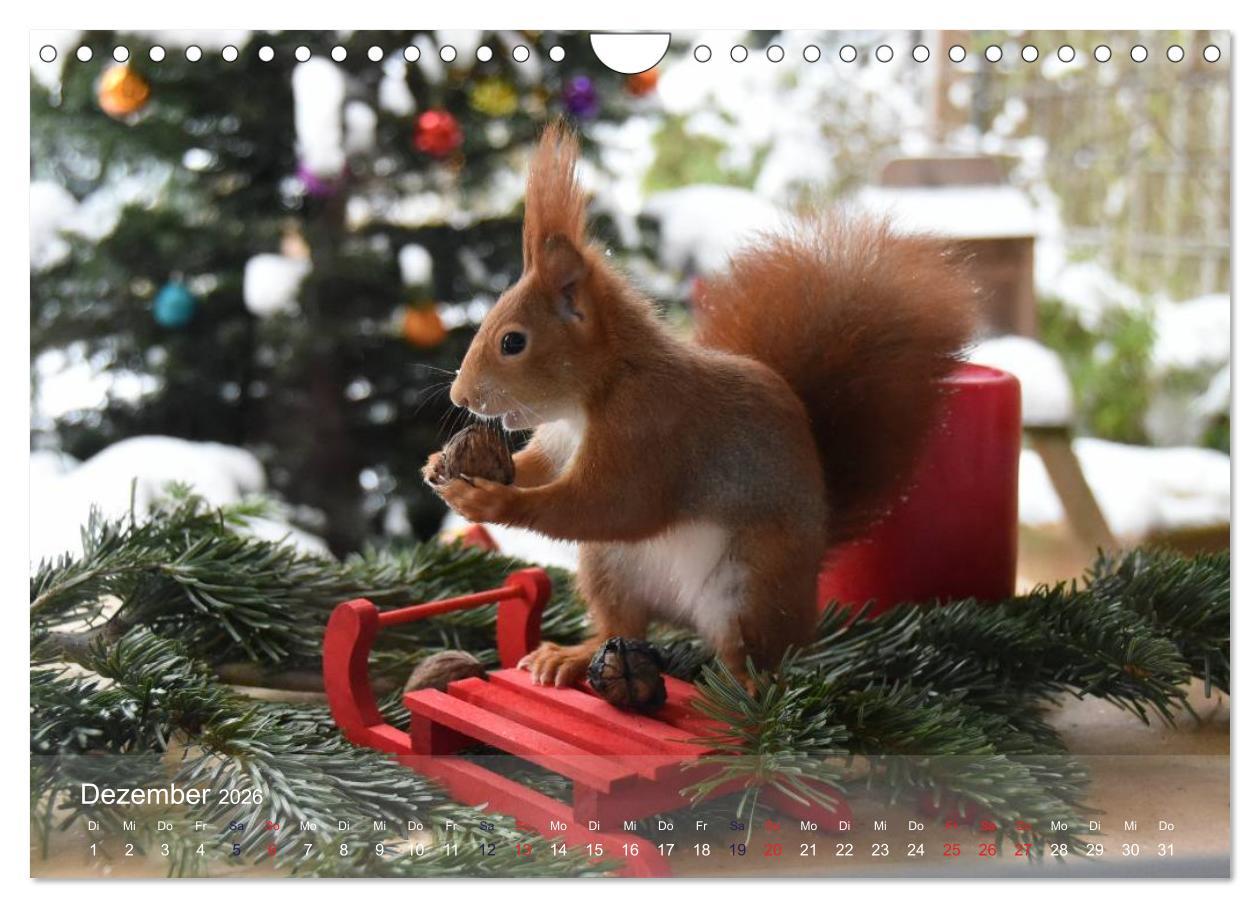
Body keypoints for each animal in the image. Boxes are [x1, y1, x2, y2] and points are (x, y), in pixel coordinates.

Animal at [427, 123, 977, 688]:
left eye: (513, 342)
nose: (459, 396)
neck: (597, 392)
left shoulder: (649, 431)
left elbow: (612, 504)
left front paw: (494, 503)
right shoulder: (560, 439)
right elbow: (537, 467)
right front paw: (440, 465)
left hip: (751, 585)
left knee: (751, 657)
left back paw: (740, 691)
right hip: (611, 568)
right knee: (622, 627)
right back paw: (574, 657)